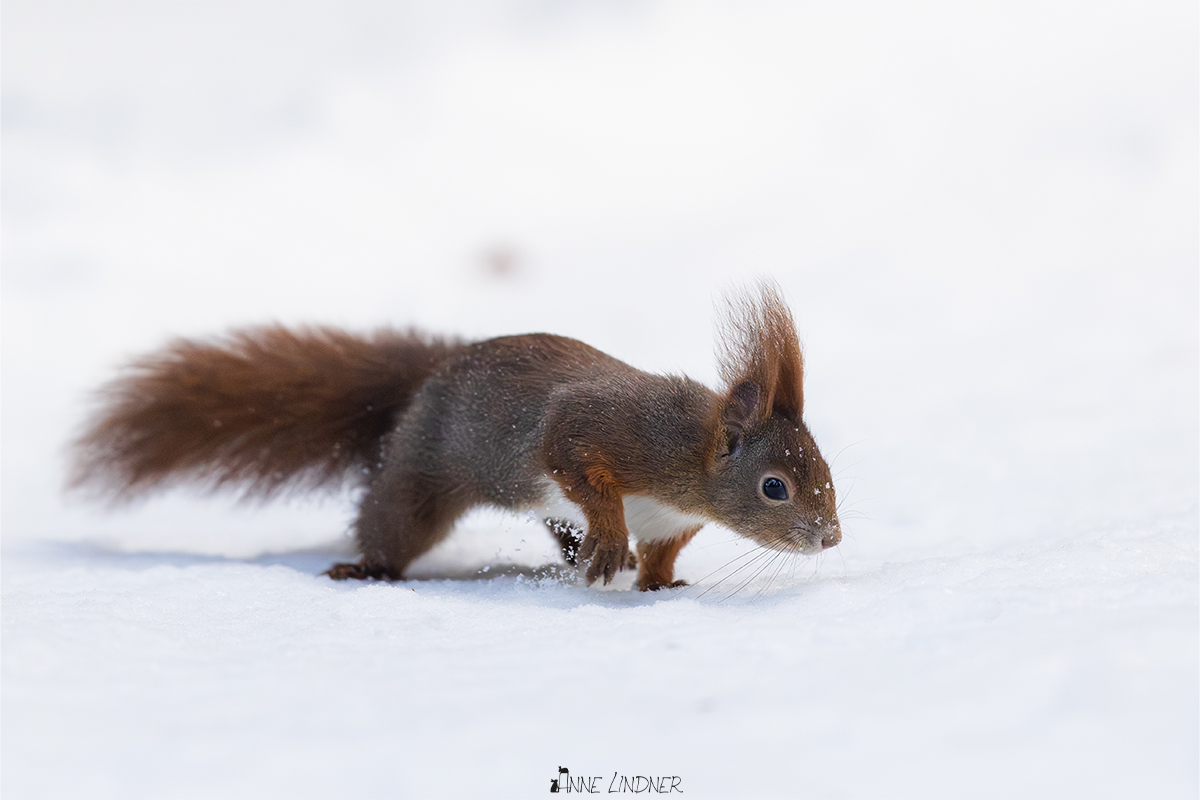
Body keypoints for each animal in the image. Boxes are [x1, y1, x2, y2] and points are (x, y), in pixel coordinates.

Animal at [70, 281, 841, 590]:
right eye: (775, 487)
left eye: (829, 475)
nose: (831, 539)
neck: (689, 463)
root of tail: (427, 379)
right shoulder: (608, 430)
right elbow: (571, 457)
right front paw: (609, 540)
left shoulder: (671, 519)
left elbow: (661, 552)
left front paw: (656, 583)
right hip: (419, 482)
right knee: (391, 525)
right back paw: (365, 570)